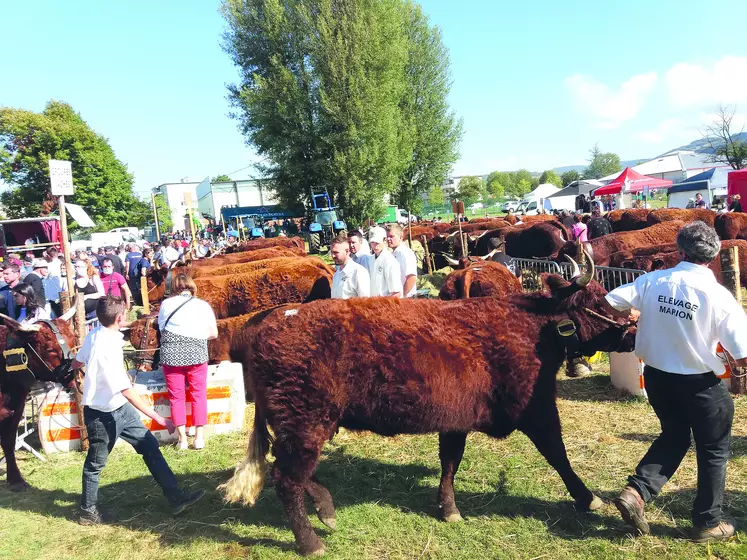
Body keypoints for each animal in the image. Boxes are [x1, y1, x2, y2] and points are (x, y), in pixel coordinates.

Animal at [221, 253, 636, 556]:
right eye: (598, 301)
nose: (633, 327)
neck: (529, 327)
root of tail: (273, 321)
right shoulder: (536, 411)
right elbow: (558, 454)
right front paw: (588, 498)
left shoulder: (456, 418)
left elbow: (450, 461)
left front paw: (448, 508)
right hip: (305, 423)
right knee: (287, 478)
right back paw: (311, 542)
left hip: (304, 424)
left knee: (292, 470)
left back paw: (327, 510)